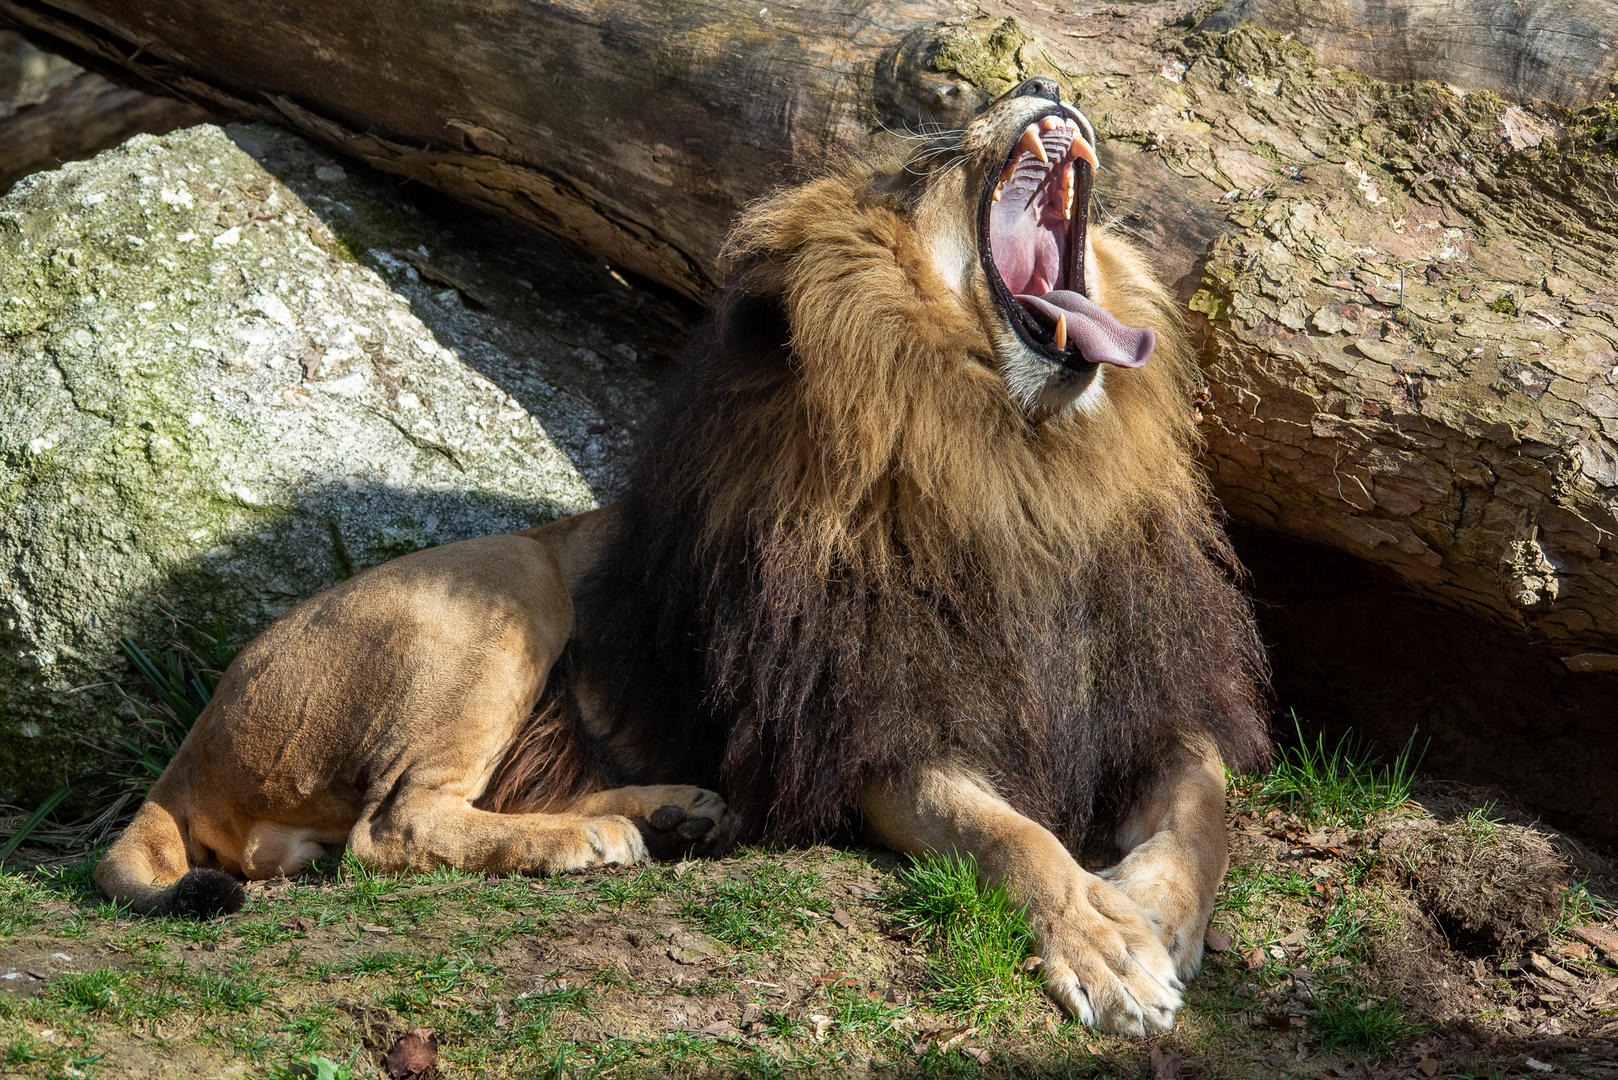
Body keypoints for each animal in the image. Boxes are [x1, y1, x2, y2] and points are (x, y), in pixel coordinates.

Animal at [94, 78, 1268, 1036]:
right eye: (927, 154)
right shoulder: (878, 740)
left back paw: (670, 813)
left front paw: (1152, 914)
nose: (1043, 84)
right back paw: (587, 842)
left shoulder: (1149, 703)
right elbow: (1011, 839)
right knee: (390, 830)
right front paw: (1105, 942)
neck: (1028, 463)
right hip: (506, 582)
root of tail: (188, 751)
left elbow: (1202, 813)